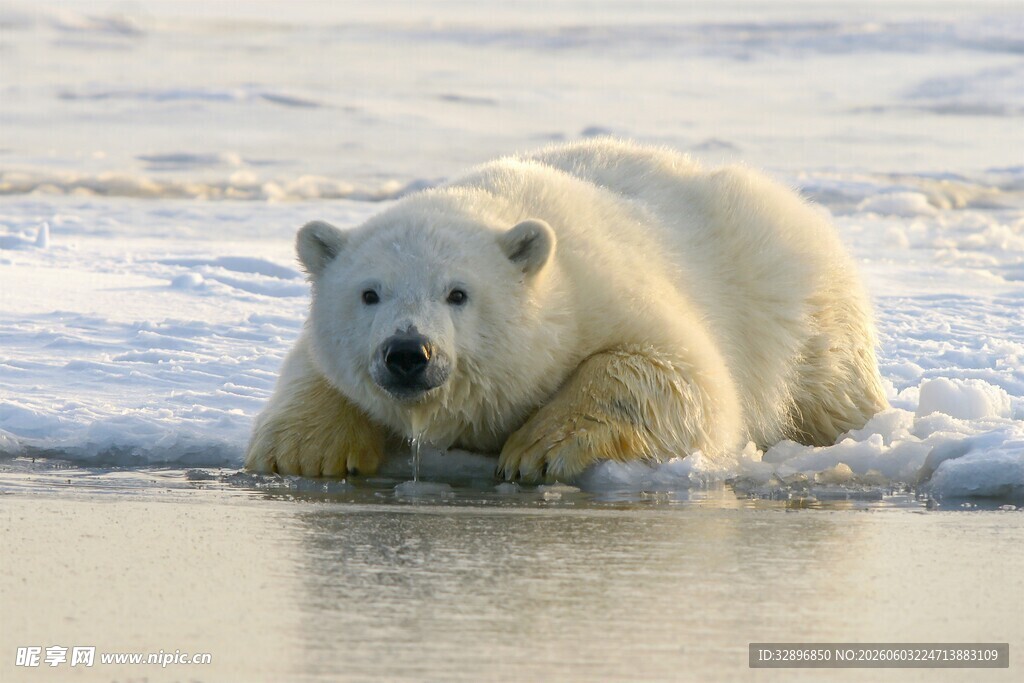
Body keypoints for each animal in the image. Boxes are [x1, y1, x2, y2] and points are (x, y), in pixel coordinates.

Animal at [245, 138, 888, 481]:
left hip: (796, 303)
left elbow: (680, 376)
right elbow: (311, 367)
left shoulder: (606, 291)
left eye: (458, 293)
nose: (408, 353)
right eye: (369, 293)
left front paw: (537, 450)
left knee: (830, 386)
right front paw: (305, 452)